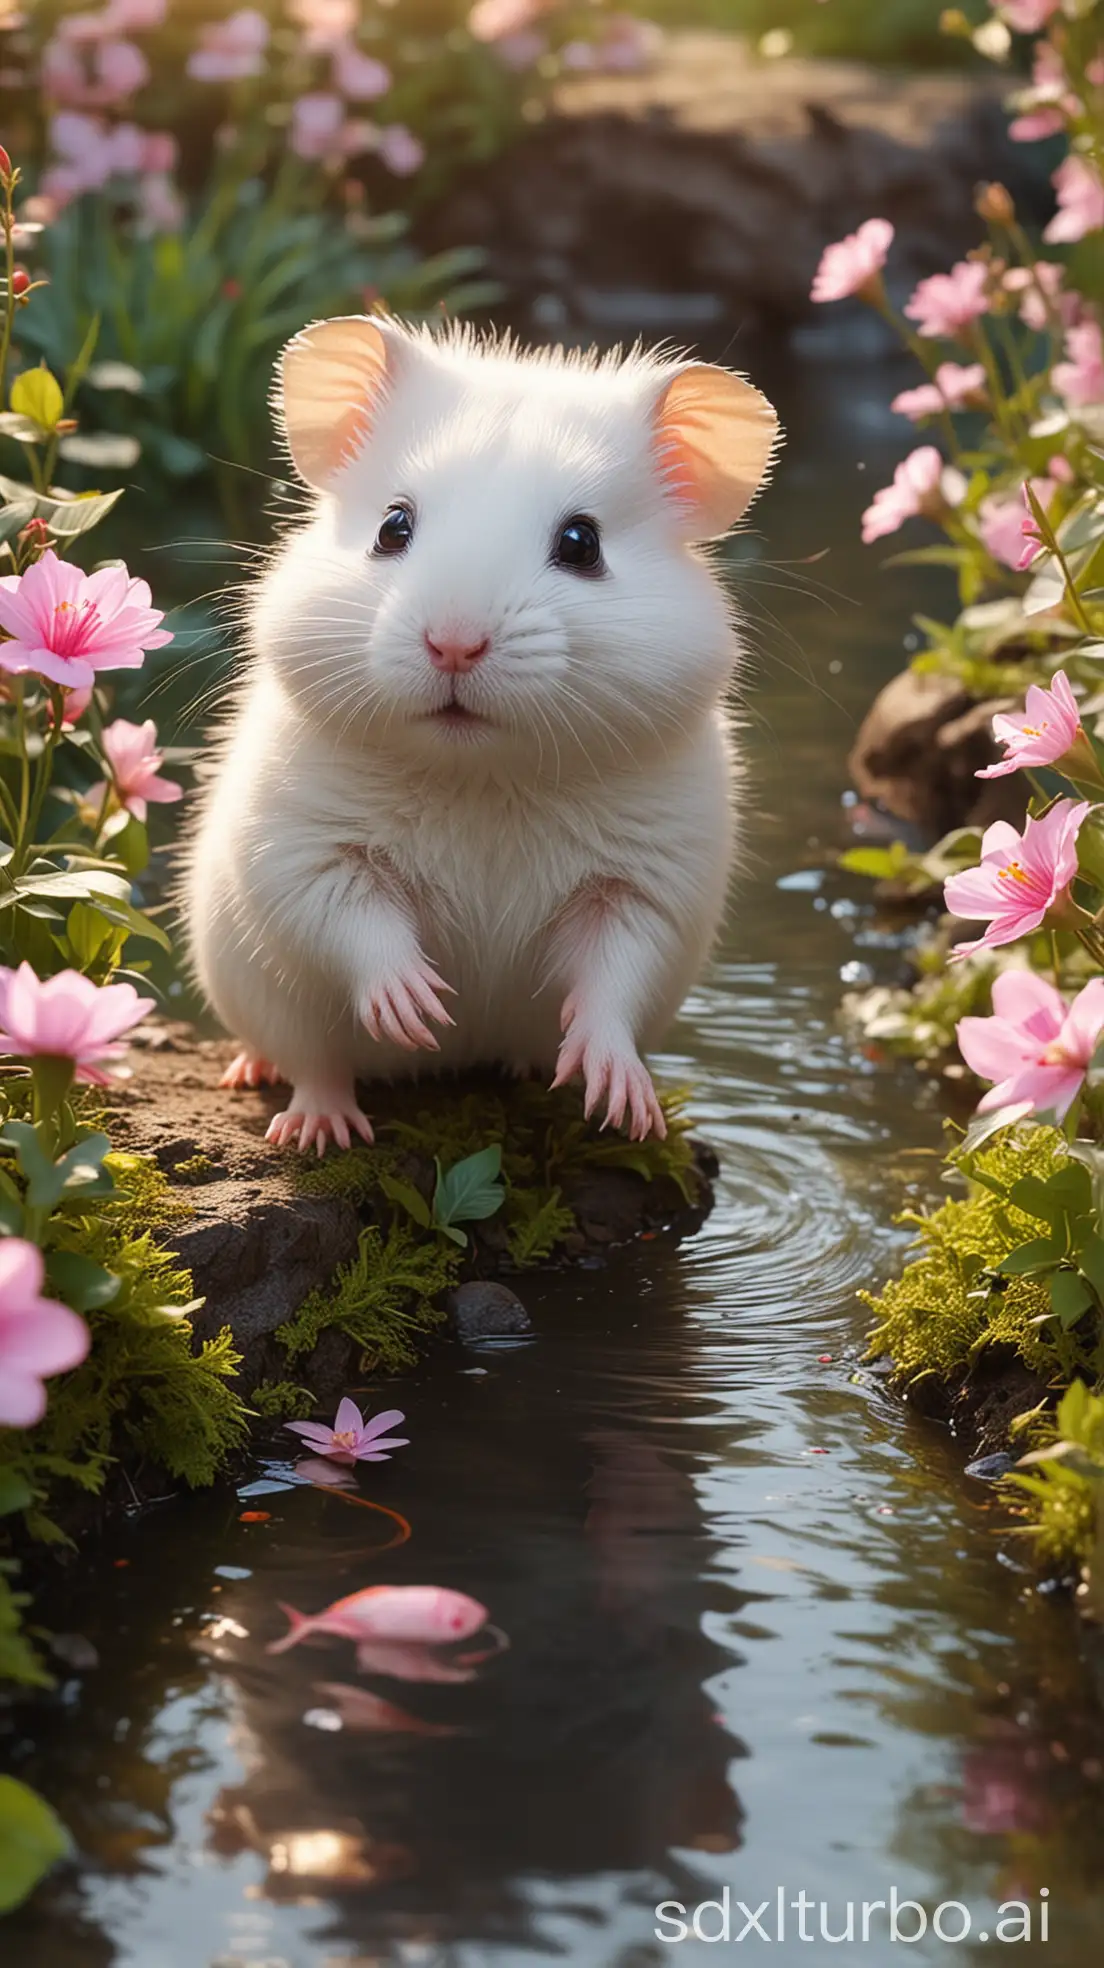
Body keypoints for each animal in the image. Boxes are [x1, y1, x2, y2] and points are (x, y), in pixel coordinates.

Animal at [183, 316, 775, 1149]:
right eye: (392, 526)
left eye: (583, 543)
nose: (454, 646)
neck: (484, 772)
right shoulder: (308, 854)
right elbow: (358, 927)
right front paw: (421, 1011)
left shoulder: (642, 890)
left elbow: (612, 982)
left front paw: (625, 1102)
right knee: (314, 1064)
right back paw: (307, 1119)